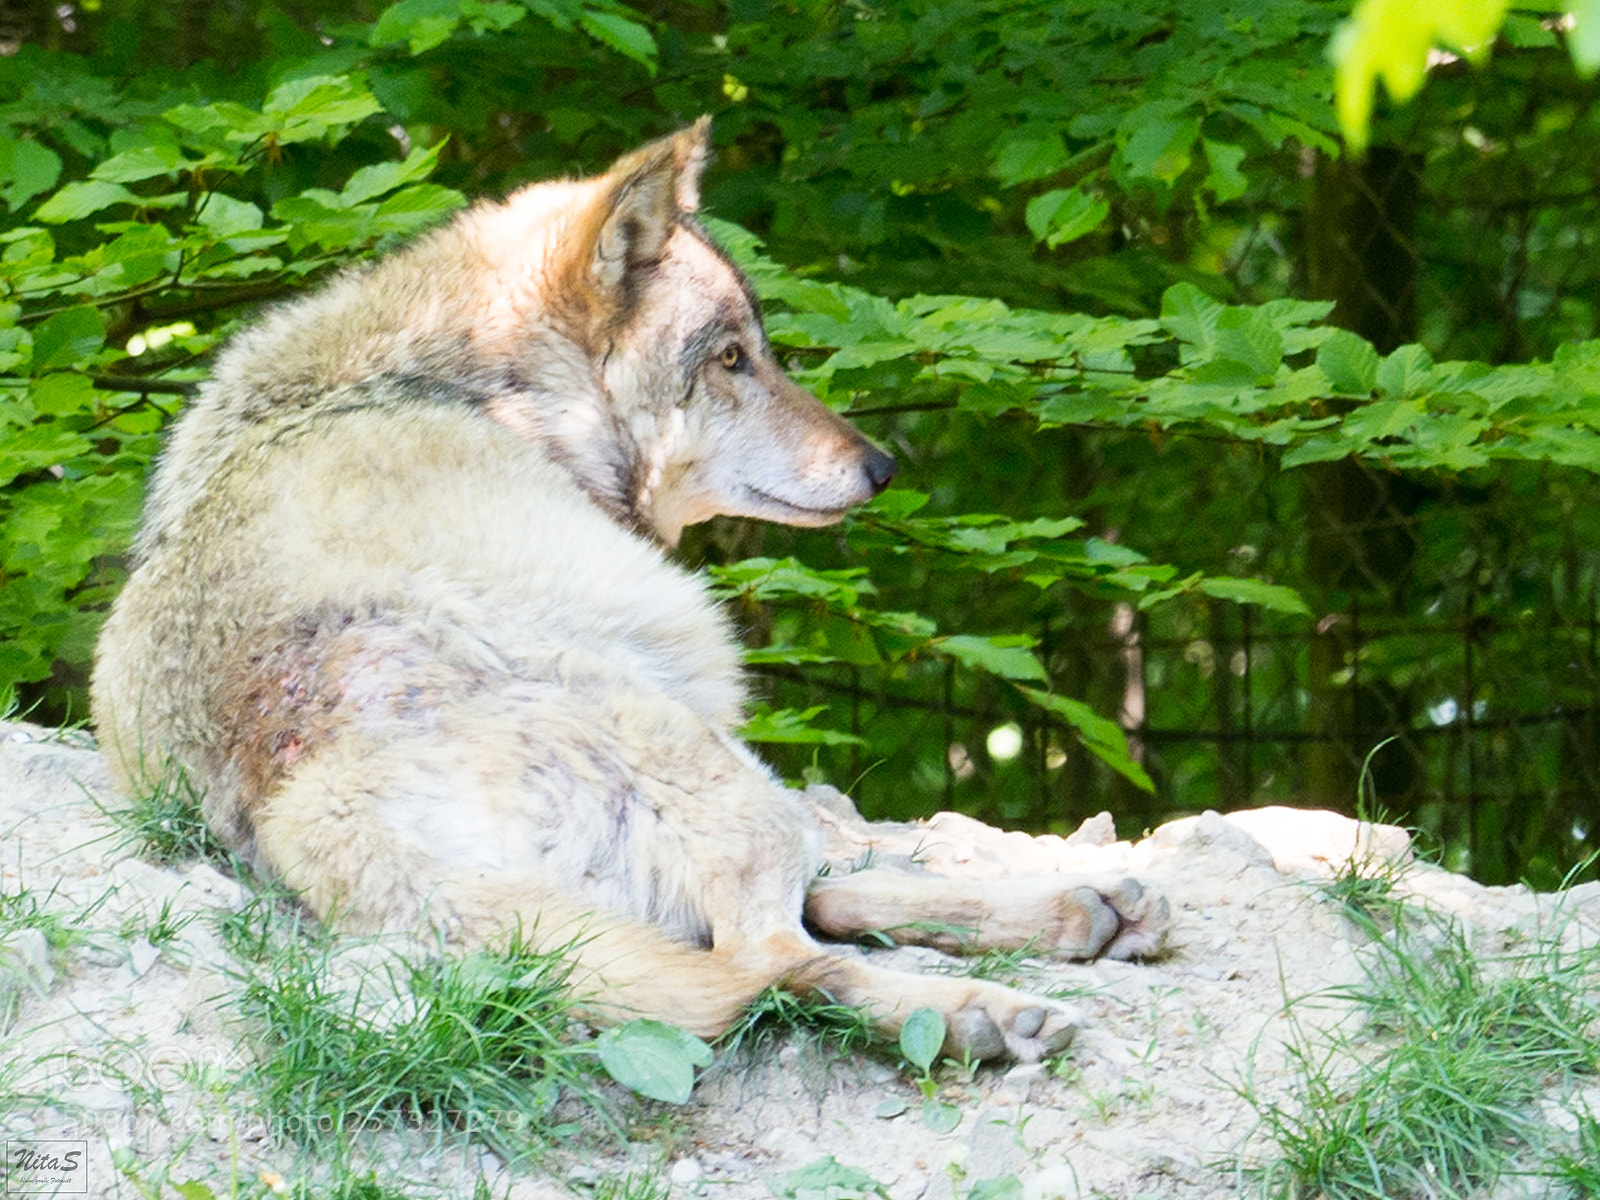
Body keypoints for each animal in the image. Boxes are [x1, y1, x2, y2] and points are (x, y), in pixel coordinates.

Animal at [92, 120, 1167, 1063]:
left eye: (762, 351)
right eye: (733, 358)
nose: (882, 467)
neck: (473, 391)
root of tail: (306, 810)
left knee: (813, 912)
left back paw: (1088, 909)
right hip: (701, 755)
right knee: (783, 959)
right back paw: (985, 1011)